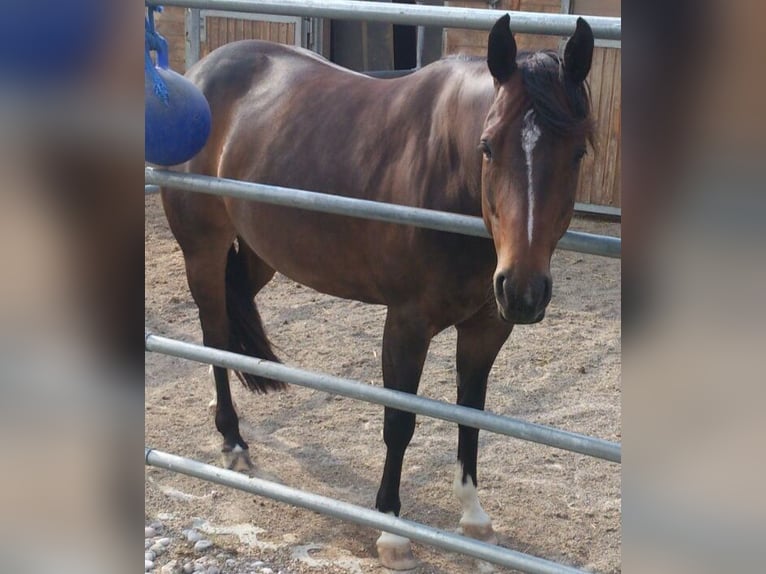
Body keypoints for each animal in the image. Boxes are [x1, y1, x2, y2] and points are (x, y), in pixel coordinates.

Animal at [160, 13, 592, 572]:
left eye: (578, 151)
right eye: (488, 146)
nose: (523, 290)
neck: (447, 172)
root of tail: (201, 72)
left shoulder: (486, 327)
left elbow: (470, 416)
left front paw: (474, 518)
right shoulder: (406, 323)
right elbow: (399, 423)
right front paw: (391, 531)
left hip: (258, 255)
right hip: (203, 250)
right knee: (213, 331)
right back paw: (232, 440)